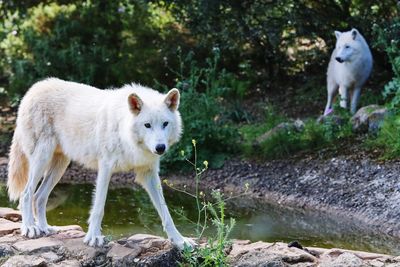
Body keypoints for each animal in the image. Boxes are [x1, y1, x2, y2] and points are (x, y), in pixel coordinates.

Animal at [6, 77, 194, 249]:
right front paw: (94, 238)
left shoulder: (149, 174)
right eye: (147, 125)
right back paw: (30, 228)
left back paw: (45, 228)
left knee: (39, 197)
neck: (124, 130)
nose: (160, 147)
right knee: (26, 194)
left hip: (60, 166)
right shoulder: (105, 168)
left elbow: (165, 212)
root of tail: (32, 90)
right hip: (42, 159)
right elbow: (99, 207)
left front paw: (180, 241)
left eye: (165, 124)